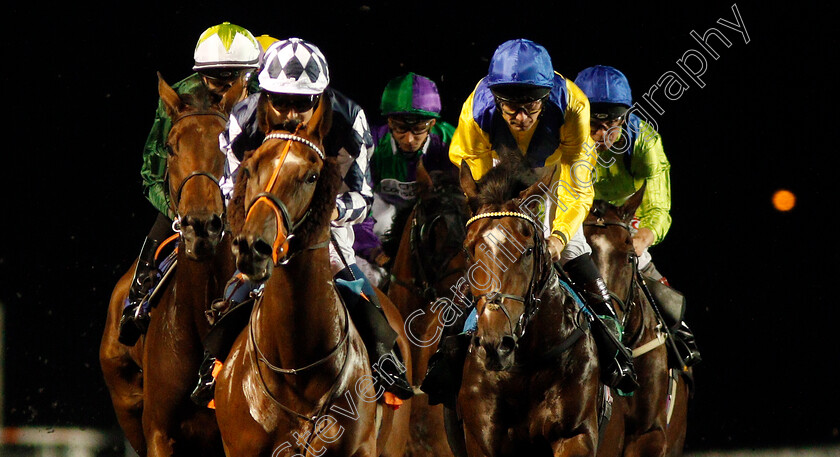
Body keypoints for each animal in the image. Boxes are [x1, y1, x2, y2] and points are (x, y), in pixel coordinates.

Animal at [450, 163, 600, 456]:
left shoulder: (575, 434)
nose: (495, 343)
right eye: (468, 250)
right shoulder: (479, 438)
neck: (524, 368)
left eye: (528, 250)